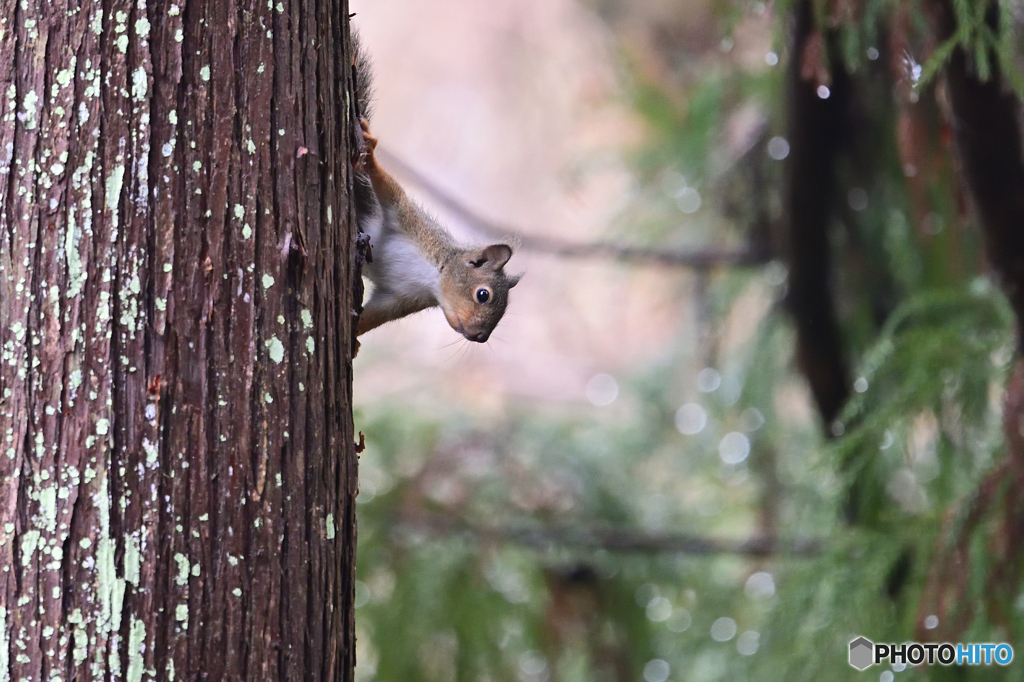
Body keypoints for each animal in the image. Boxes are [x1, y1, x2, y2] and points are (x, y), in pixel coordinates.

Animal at [352, 33, 520, 339]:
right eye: (483, 295)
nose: (480, 337)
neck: (430, 276)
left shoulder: (399, 299)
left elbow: (371, 317)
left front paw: (353, 337)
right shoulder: (409, 222)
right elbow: (391, 190)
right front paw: (371, 158)